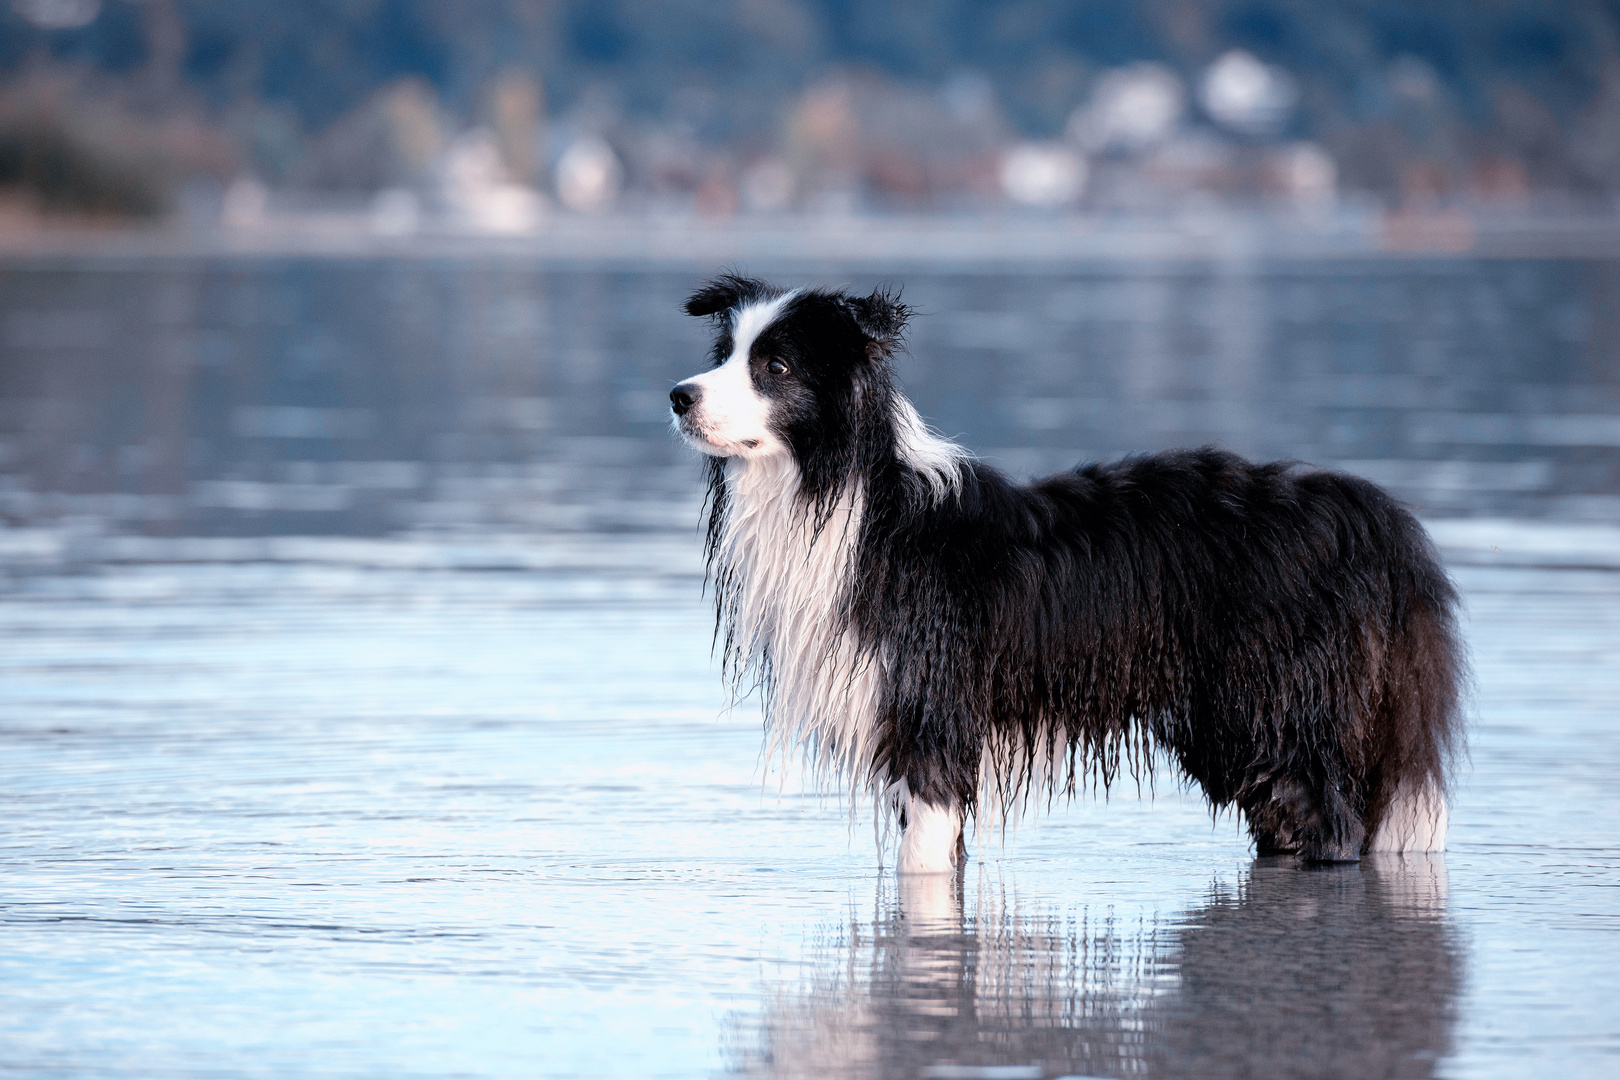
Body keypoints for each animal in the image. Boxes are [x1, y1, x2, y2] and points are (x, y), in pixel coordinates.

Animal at [664, 275, 1464, 874]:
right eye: (724, 353)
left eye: (775, 367)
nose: (678, 395)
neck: (847, 499)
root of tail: (1364, 511)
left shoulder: (929, 705)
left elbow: (923, 856)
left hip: (1270, 701)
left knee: (1329, 820)